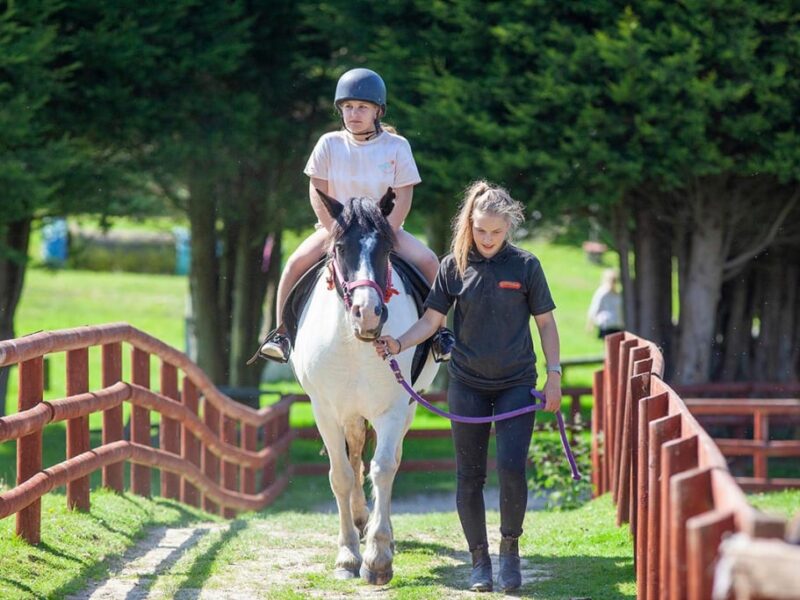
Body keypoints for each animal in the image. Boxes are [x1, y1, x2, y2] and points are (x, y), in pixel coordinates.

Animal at [290, 189, 438, 584]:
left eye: (386, 249)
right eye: (341, 248)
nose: (367, 313)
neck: (354, 343)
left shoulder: (393, 408)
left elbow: (383, 467)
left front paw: (377, 558)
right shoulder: (324, 411)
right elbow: (341, 475)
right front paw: (347, 557)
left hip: (408, 408)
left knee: (386, 459)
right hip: (350, 412)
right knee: (354, 453)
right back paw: (358, 520)